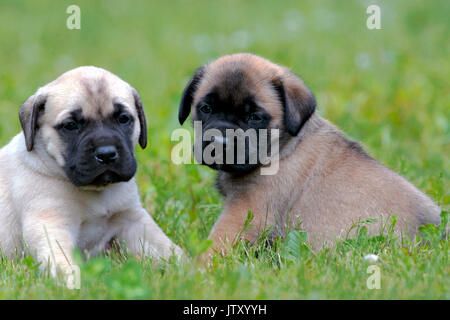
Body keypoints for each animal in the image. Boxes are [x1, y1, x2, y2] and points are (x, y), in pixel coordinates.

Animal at [178, 53, 442, 255]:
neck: (283, 147)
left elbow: (215, 244)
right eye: (206, 108)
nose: (219, 141)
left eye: (254, 117)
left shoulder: (245, 212)